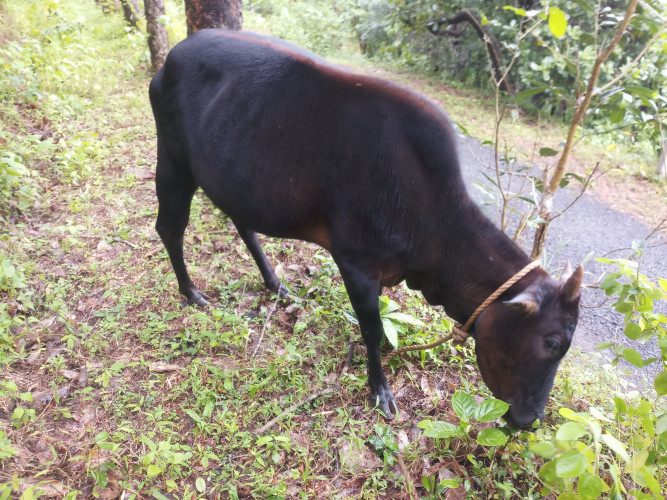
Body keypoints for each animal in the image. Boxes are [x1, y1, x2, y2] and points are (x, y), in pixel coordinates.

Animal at [149, 29, 583, 428]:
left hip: (236, 182)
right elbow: (372, 330)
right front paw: (380, 390)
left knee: (244, 226)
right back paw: (191, 293)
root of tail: (173, 56)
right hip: (173, 161)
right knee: (169, 228)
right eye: (553, 342)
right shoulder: (356, 264)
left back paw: (275, 283)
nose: (529, 419)